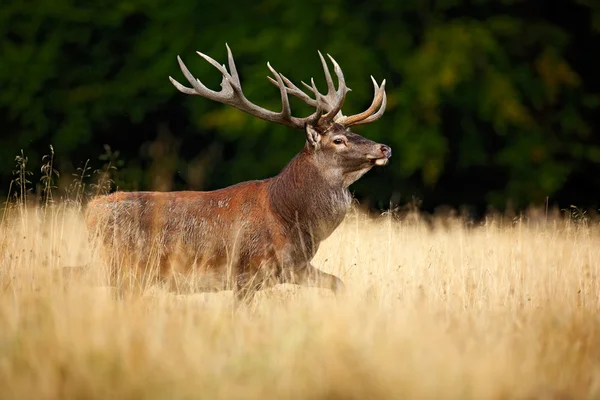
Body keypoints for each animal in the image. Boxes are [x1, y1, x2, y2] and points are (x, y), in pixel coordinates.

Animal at [83, 44, 390, 304]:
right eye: (338, 140)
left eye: (350, 132)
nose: (384, 147)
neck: (289, 216)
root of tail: (90, 211)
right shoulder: (247, 272)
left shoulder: (294, 267)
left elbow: (339, 283)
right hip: (121, 266)